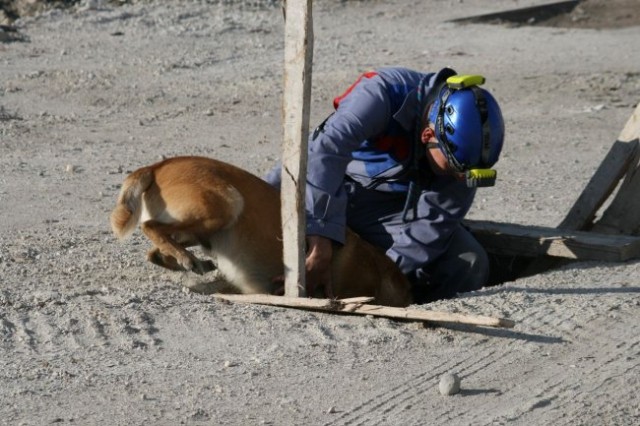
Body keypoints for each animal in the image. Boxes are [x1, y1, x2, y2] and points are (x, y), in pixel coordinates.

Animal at [110, 156, 410, 306]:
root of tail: (157, 166)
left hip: (202, 226)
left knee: (155, 251)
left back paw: (193, 261)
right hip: (228, 202)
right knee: (151, 227)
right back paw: (186, 258)